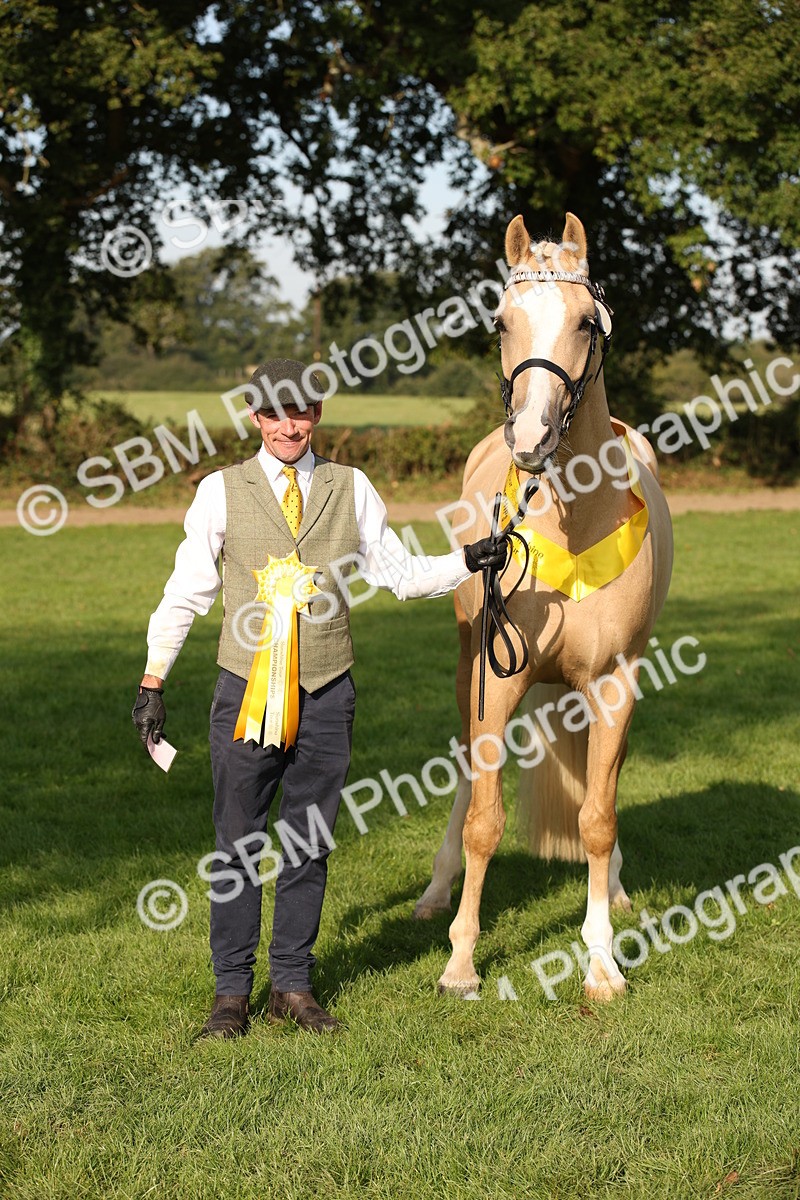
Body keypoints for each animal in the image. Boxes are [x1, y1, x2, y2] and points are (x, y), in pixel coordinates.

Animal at [414, 212, 673, 1001]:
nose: (529, 438)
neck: (570, 521)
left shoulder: (614, 684)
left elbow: (597, 817)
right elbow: (484, 821)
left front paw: (602, 962)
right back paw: (434, 892)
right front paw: (461, 961)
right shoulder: (496, 682)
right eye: (502, 321)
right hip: (468, 669)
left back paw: (615, 888)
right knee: (467, 778)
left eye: (587, 321)